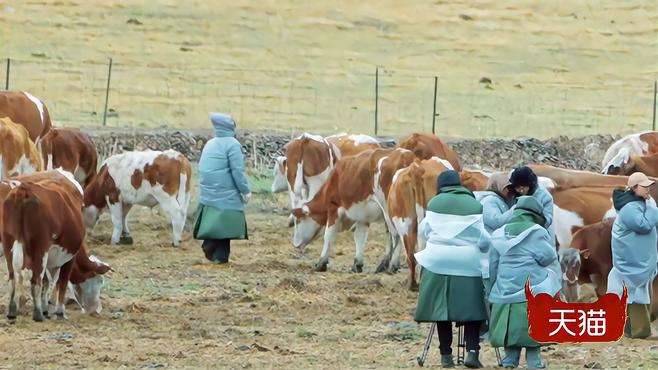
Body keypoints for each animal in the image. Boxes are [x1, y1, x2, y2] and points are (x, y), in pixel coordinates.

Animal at [0, 168, 101, 320]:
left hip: (9, 244)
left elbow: (46, 281)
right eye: (98, 281)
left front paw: (43, 308)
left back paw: (13, 310)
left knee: (14, 277)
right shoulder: (67, 257)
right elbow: (61, 282)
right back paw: (37, 313)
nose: (96, 310)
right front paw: (58, 311)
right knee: (35, 280)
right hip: (40, 249)